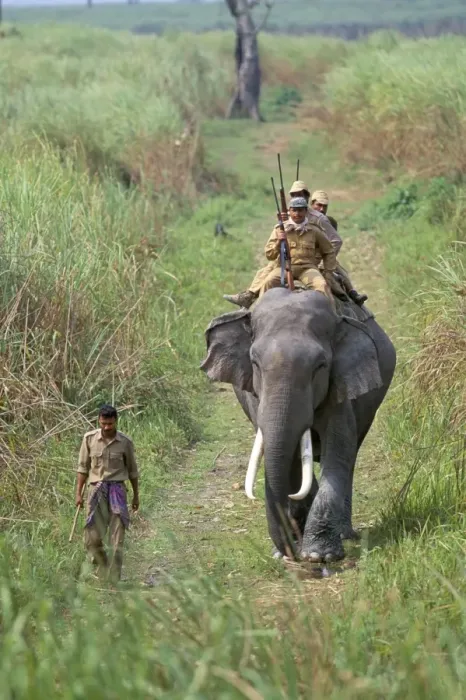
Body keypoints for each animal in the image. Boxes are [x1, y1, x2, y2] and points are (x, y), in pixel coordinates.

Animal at [200, 288, 396, 562]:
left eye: (320, 366)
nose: (289, 551)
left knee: (350, 457)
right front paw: (292, 548)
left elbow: (338, 452)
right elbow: (290, 459)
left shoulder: (340, 388)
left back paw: (344, 534)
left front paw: (318, 555)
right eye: (255, 363)